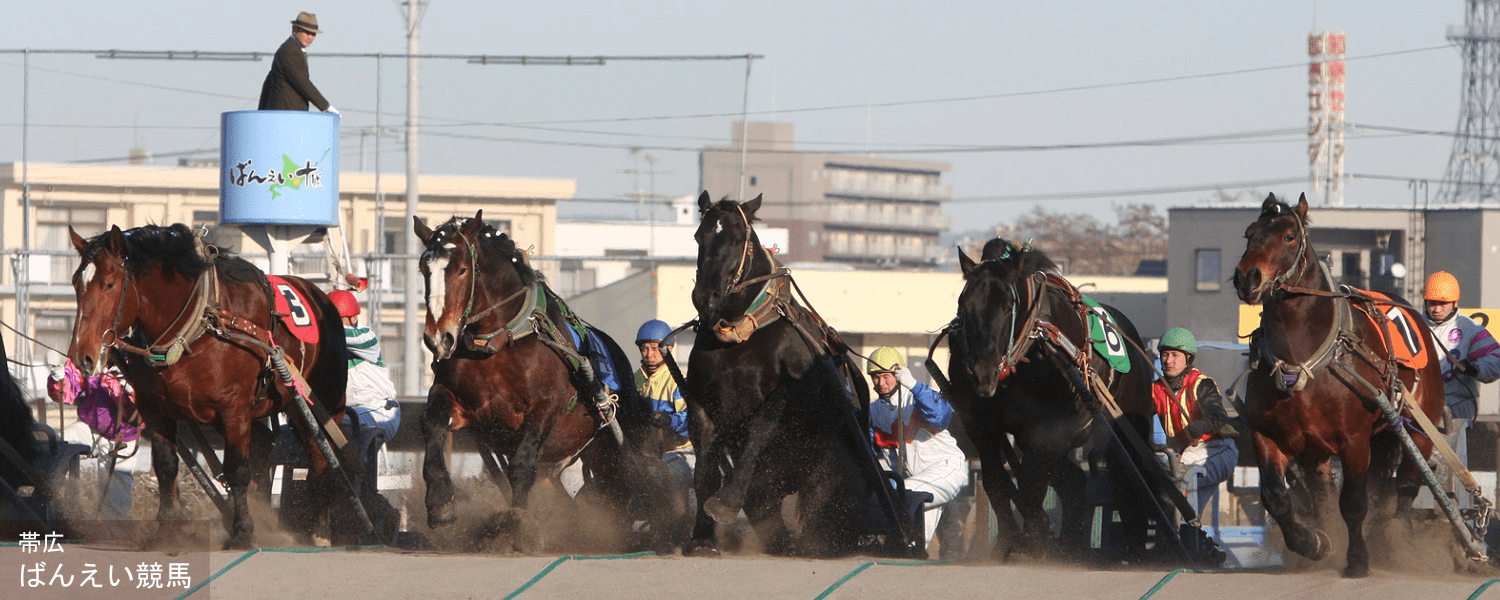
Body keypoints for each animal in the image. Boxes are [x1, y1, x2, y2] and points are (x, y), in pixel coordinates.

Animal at [67, 223, 351, 549]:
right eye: (76, 283)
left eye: (110, 284)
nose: (82, 354)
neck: (197, 327)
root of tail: (319, 295)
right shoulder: (155, 408)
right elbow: (166, 466)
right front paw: (168, 529)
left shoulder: (234, 409)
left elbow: (237, 469)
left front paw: (242, 531)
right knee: (266, 444)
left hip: (321, 404)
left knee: (323, 458)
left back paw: (319, 529)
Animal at [414, 212, 667, 549]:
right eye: (423, 267)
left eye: (462, 269)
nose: (438, 338)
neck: (499, 342)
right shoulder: (456, 400)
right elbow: (433, 426)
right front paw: (440, 503)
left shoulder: (547, 407)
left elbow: (521, 467)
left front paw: (517, 525)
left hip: (607, 448)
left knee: (619, 488)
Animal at [683, 192, 914, 558]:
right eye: (698, 236)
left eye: (737, 238)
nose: (705, 297)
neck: (743, 335)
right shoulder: (701, 400)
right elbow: (704, 464)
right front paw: (703, 536)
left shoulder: (789, 394)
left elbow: (760, 428)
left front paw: (727, 502)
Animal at [940, 237, 1189, 561]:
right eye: (964, 304)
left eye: (1007, 306)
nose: (983, 372)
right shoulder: (980, 424)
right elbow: (996, 481)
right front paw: (1009, 539)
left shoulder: (1050, 428)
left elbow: (1031, 482)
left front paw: (1030, 541)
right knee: (1076, 483)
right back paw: (1071, 543)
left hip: (1126, 424)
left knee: (1130, 483)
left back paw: (1134, 548)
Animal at [1232, 193, 1447, 577]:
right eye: (1249, 233)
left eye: (1289, 236)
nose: (1247, 277)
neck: (1303, 359)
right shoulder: (1268, 434)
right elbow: (1276, 496)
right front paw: (1313, 543)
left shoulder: (1355, 440)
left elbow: (1354, 502)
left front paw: (1358, 558)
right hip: (1319, 449)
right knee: (1324, 493)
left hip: (1419, 428)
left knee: (1407, 486)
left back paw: (1396, 540)